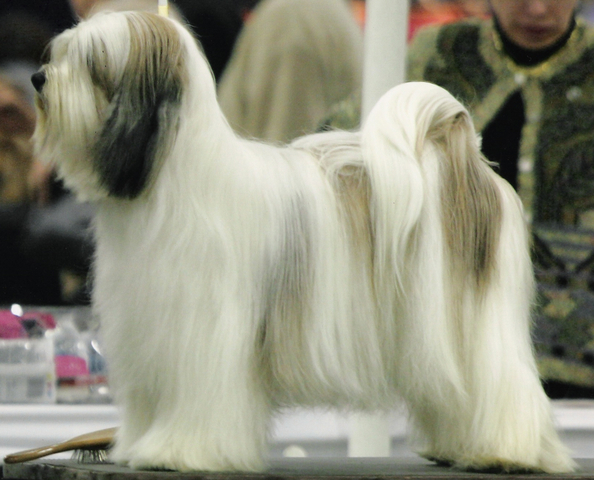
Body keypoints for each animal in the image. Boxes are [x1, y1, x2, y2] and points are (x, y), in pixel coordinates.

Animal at [32, 10, 572, 472]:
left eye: (93, 64)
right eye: (62, 52)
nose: (38, 78)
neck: (170, 181)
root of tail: (466, 161)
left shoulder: (207, 335)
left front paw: (179, 452)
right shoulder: (150, 331)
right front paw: (137, 446)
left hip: (477, 321)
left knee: (504, 383)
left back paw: (506, 451)